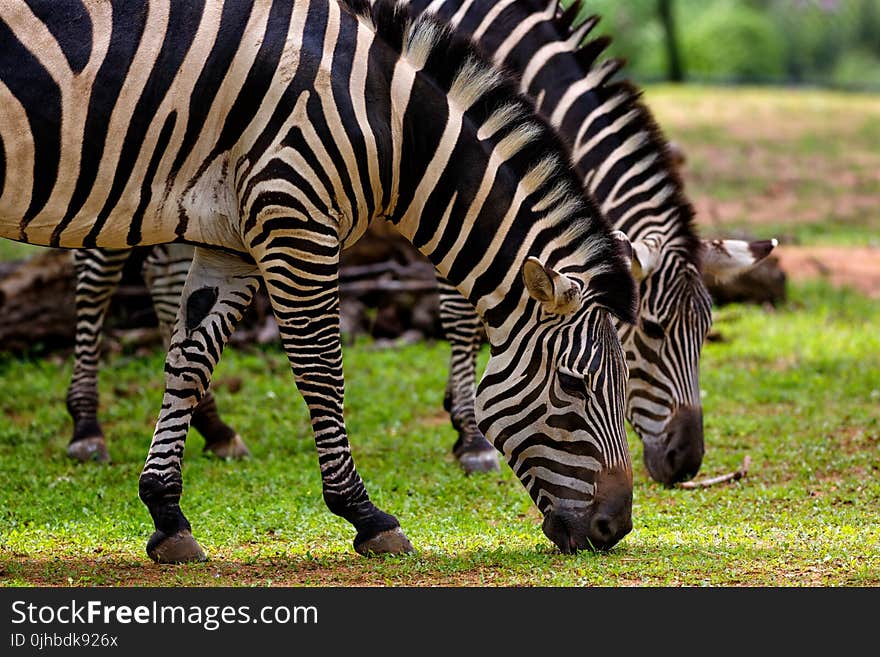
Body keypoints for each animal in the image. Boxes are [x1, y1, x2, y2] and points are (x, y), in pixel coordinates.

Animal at [3, 1, 644, 560]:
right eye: (574, 385)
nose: (614, 528)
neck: (387, 127)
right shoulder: (294, 220)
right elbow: (322, 371)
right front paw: (368, 515)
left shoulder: (230, 239)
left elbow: (191, 357)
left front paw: (167, 516)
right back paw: (87, 427)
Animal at [398, 0, 776, 482]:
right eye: (652, 329)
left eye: (707, 331)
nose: (685, 464)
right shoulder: (453, 199)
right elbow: (463, 315)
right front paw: (471, 439)